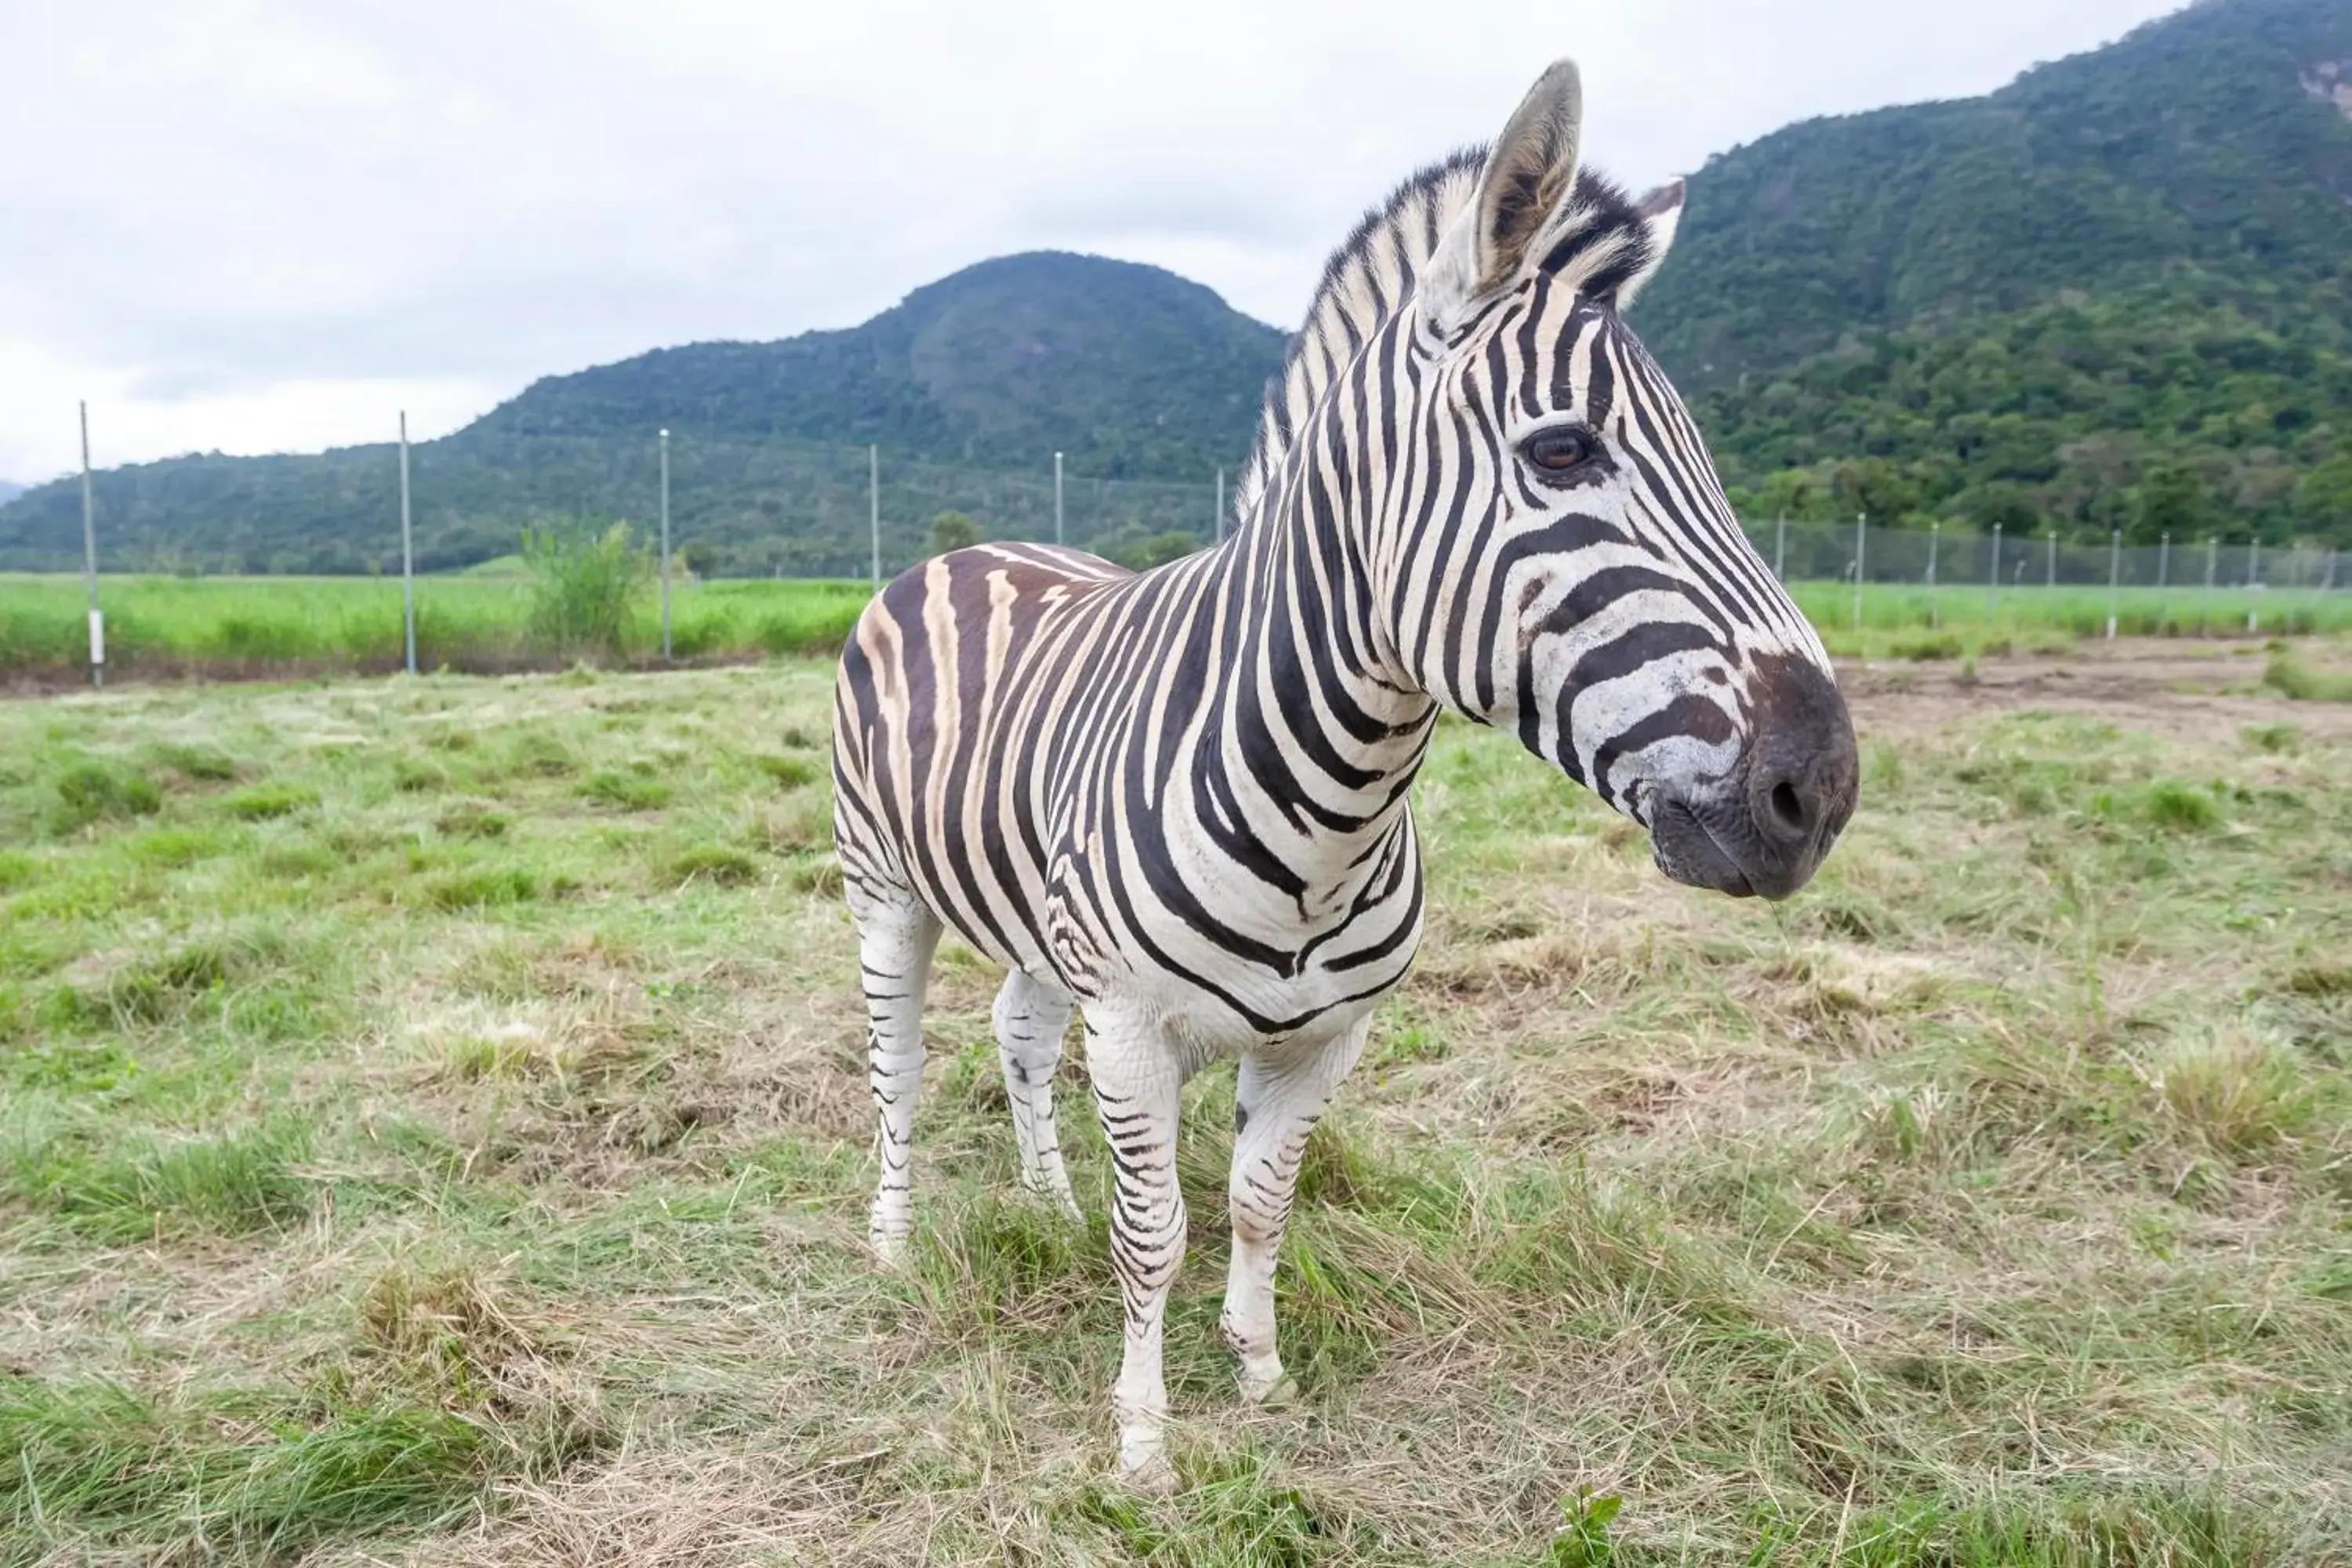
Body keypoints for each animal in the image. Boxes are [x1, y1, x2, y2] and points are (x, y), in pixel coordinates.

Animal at [828, 55, 1853, 1495]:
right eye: (1561, 452)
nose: (1821, 790)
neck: (1334, 814)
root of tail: (965, 551)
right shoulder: (1131, 1026)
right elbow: (1161, 1228)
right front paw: (1143, 1440)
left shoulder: (1327, 1037)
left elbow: (1260, 1204)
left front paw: (1259, 1374)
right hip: (885, 891)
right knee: (903, 1062)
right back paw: (893, 1239)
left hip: (1032, 913)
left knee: (1016, 1036)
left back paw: (1048, 1201)